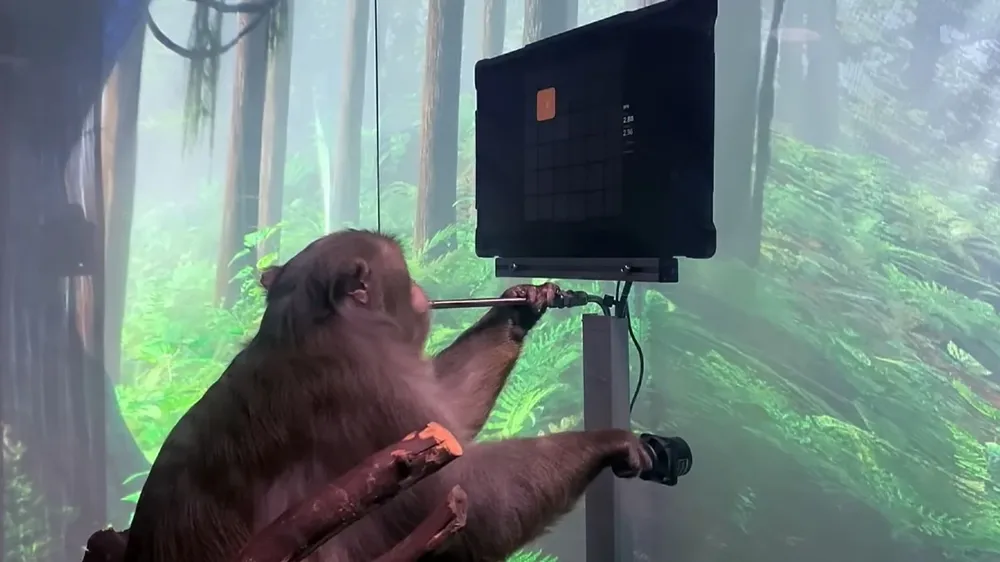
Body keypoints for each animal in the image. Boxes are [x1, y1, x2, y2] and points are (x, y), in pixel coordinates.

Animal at [121, 229, 653, 562]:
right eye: (404, 275)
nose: (421, 290)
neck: (315, 325)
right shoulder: (366, 386)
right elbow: (476, 493)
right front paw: (608, 440)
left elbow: (450, 412)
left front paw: (521, 306)